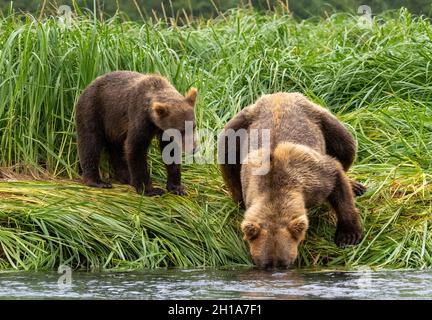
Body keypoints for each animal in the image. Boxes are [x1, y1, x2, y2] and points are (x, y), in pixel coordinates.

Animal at [219, 92, 364, 268]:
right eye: (264, 263)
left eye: (285, 263)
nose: (276, 270)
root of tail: (279, 94)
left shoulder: (313, 176)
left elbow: (337, 180)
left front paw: (349, 236)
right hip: (238, 124)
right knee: (226, 154)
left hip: (321, 116)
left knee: (345, 146)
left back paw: (356, 186)